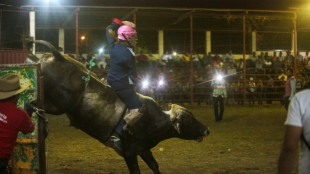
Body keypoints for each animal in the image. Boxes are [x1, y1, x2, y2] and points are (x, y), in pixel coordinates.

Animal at [27, 40, 211, 173]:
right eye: (188, 120)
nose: (206, 130)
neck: (155, 120)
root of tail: (58, 56)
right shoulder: (129, 152)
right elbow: (136, 171)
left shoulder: (142, 148)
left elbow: (154, 165)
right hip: (58, 105)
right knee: (32, 103)